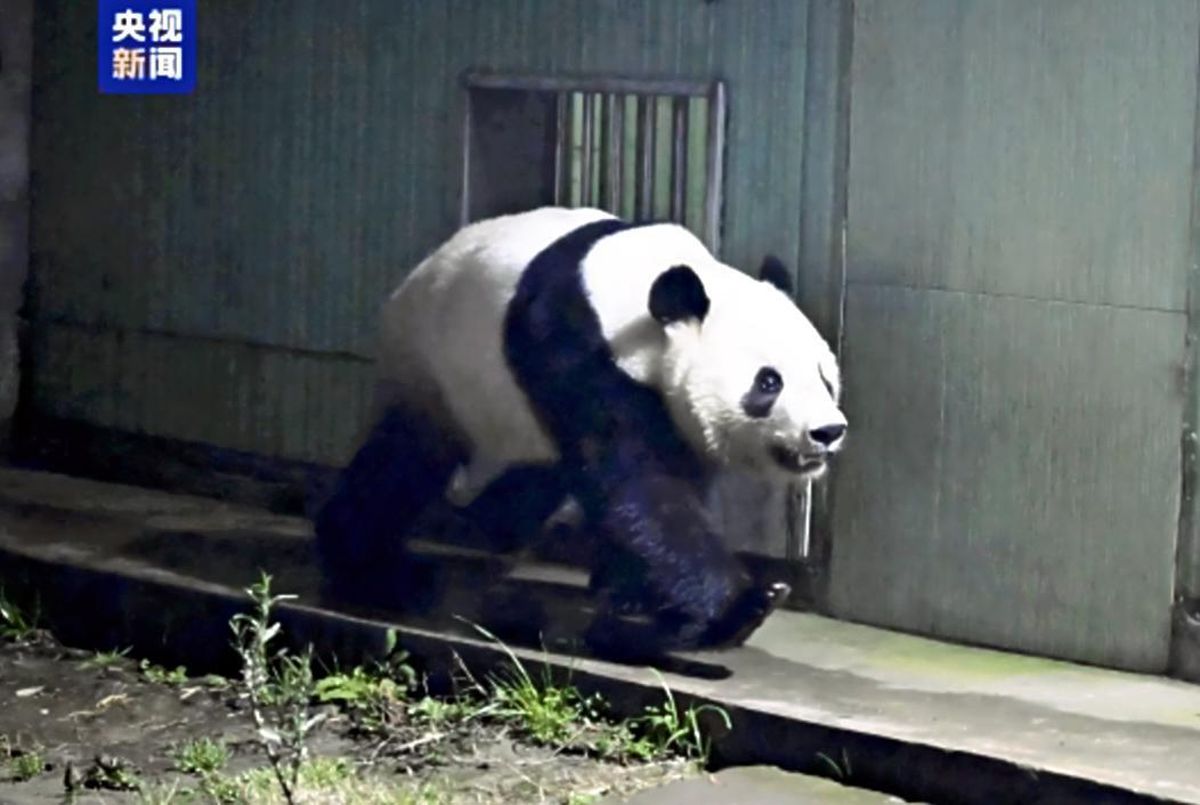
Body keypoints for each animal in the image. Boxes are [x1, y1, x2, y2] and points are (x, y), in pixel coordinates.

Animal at [314, 206, 847, 660]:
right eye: (769, 382)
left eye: (824, 377)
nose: (827, 431)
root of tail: (411, 281)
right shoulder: (570, 345)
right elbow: (638, 484)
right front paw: (744, 605)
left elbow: (662, 484)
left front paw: (635, 595)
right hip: (435, 370)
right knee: (402, 464)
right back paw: (377, 570)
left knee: (532, 479)